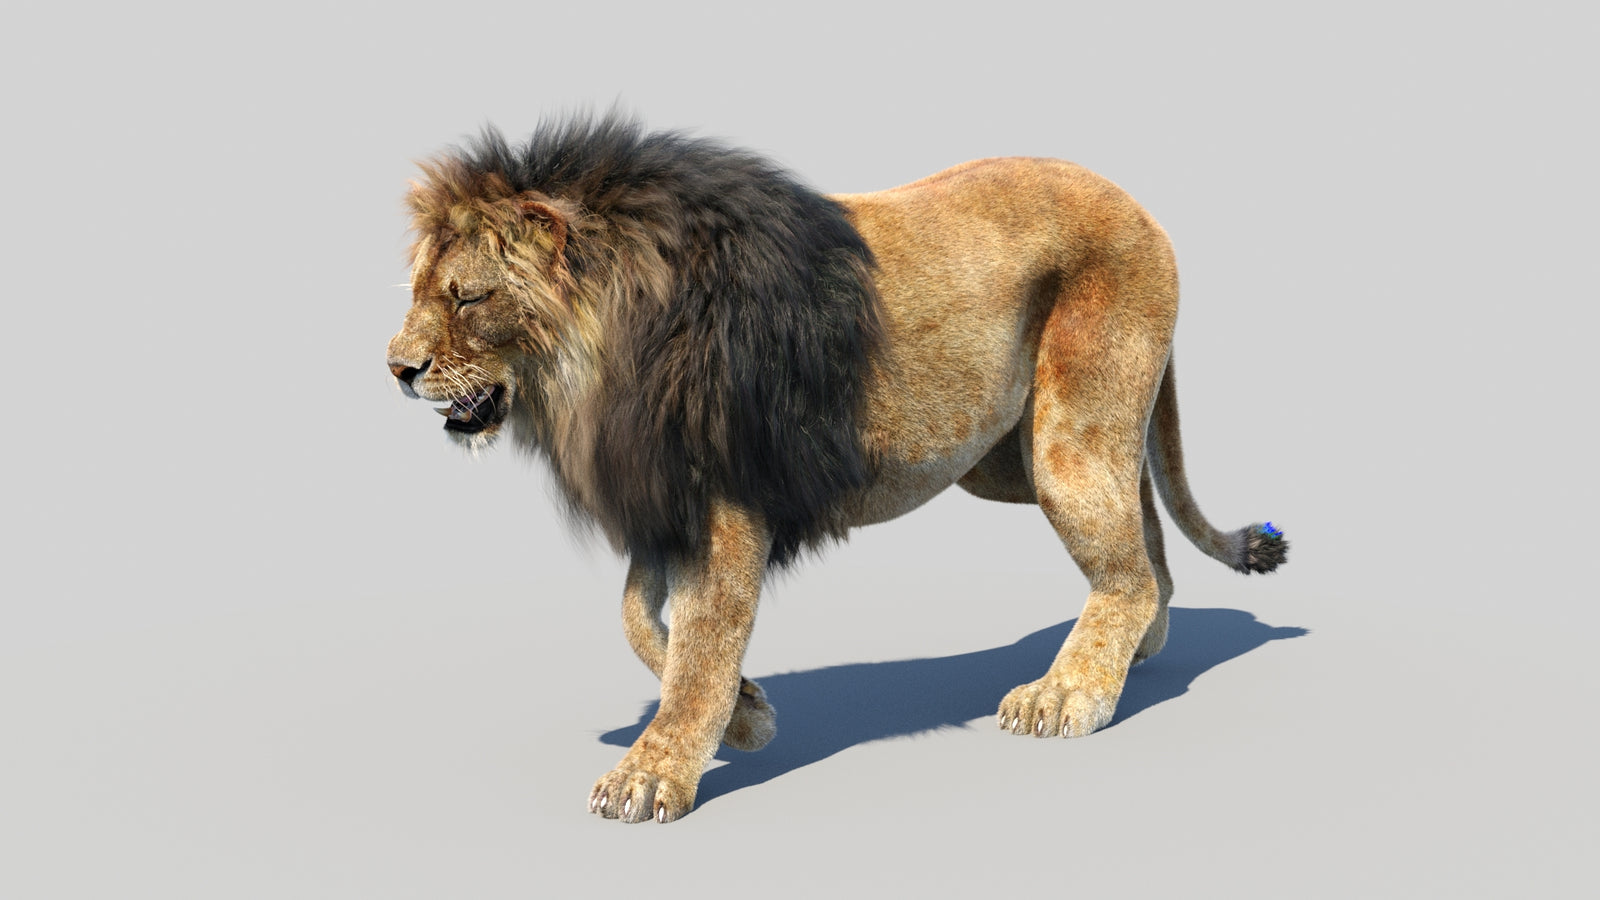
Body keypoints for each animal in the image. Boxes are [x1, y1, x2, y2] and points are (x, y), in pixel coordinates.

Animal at [386, 114, 1288, 824]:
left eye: (467, 297)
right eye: (420, 289)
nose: (395, 368)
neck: (591, 370)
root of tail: (1136, 203)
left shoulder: (722, 502)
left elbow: (700, 644)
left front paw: (653, 772)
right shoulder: (658, 494)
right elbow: (641, 623)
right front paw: (749, 715)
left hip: (1067, 436)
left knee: (1123, 567)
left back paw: (1070, 693)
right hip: (1011, 455)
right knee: (1139, 523)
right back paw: (1140, 645)